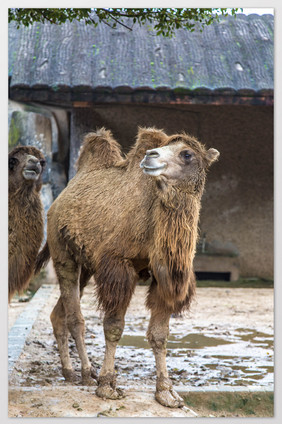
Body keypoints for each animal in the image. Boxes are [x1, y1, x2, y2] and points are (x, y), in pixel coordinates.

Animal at [35, 128, 220, 408]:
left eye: (187, 154)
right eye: (164, 147)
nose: (150, 156)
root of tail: (59, 199)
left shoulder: (164, 276)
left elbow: (159, 334)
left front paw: (167, 392)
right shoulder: (117, 265)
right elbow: (113, 326)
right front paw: (107, 385)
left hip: (87, 264)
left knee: (60, 313)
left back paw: (72, 371)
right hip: (62, 251)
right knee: (75, 316)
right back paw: (85, 373)